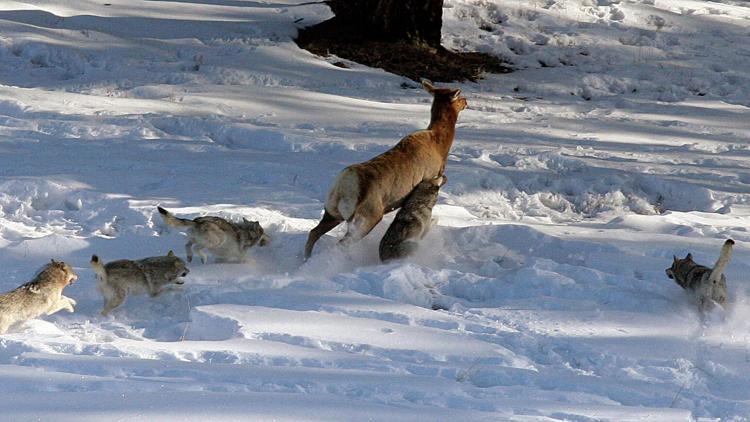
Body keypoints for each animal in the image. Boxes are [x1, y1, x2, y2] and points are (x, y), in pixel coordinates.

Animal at [302, 78, 468, 258]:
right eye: (459, 96)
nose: (466, 101)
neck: (441, 146)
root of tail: (344, 188)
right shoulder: (428, 179)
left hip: (332, 211)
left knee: (313, 232)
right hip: (368, 217)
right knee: (342, 243)